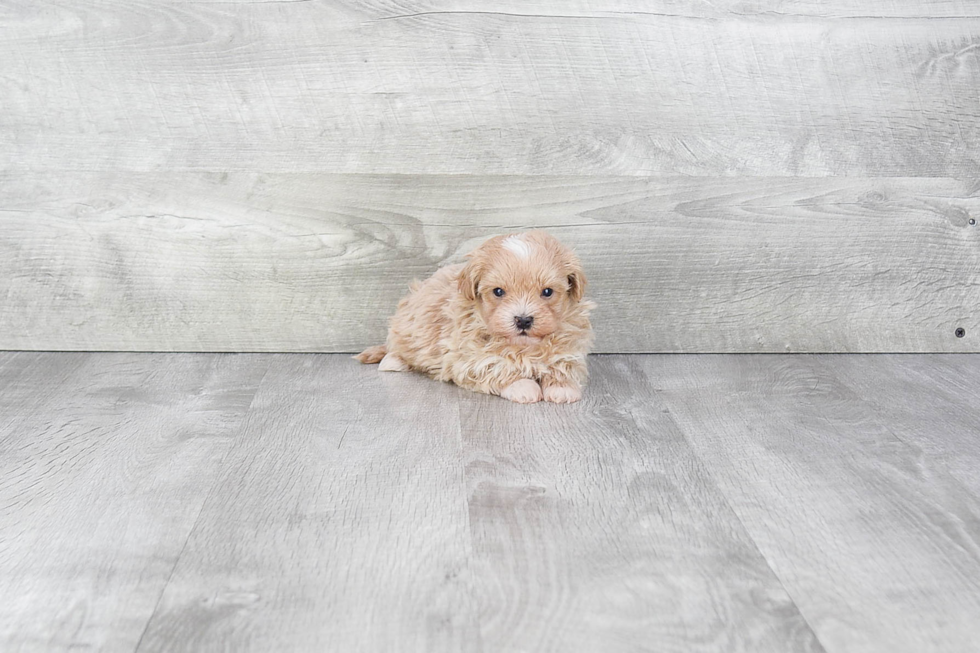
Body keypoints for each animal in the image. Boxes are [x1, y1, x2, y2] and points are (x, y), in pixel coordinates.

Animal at [356, 229, 592, 402]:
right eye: (498, 292)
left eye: (547, 292)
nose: (523, 320)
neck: (522, 347)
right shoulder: (467, 357)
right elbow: (495, 365)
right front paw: (522, 385)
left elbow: (563, 362)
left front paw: (562, 386)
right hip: (406, 325)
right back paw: (393, 360)